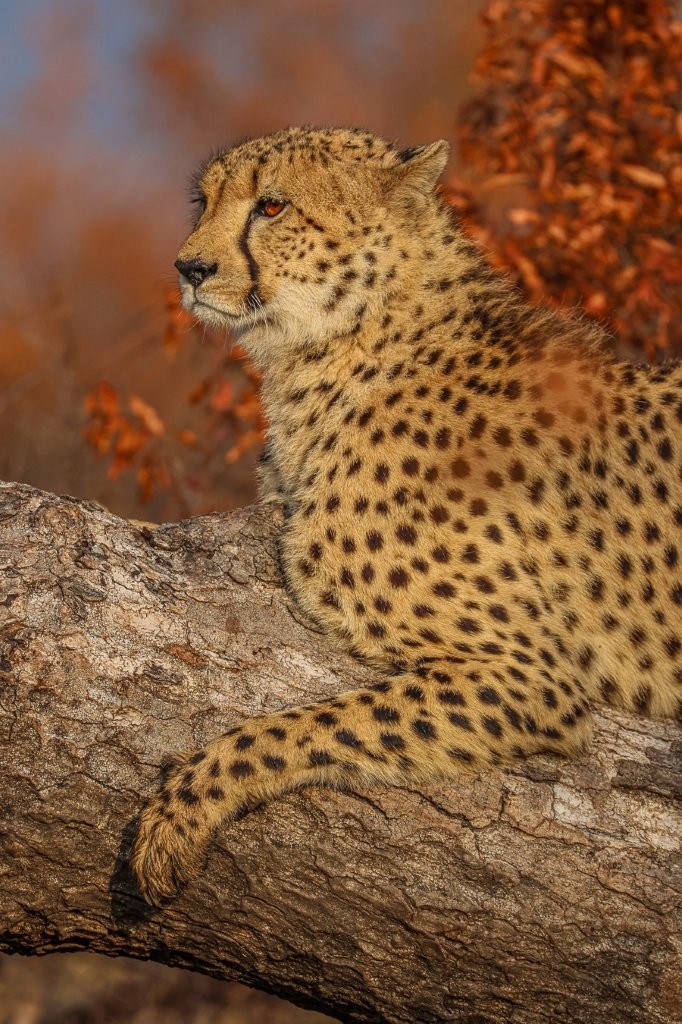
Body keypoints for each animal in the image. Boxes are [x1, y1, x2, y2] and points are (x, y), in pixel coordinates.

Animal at [131, 126, 682, 905]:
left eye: (271, 206)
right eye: (203, 202)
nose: (190, 267)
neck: (348, 345)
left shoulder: (530, 673)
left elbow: (299, 726)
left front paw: (182, 808)